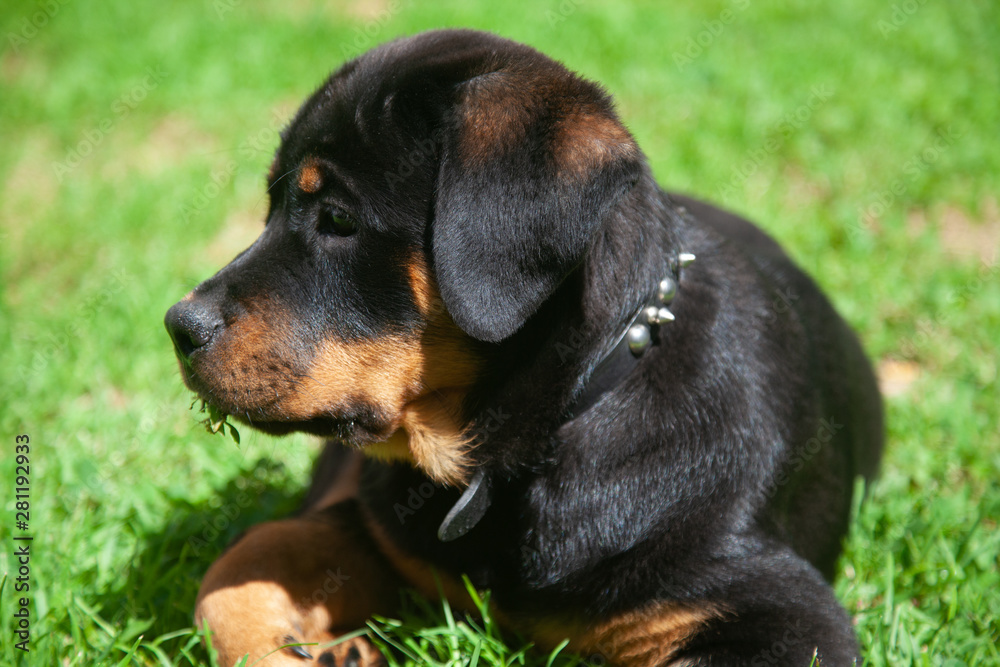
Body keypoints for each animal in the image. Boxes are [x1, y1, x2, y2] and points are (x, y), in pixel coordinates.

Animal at [164, 28, 884, 664]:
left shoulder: (777, 609)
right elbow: (240, 565)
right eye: (269, 210)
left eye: (338, 218)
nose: (178, 326)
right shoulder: (379, 526)